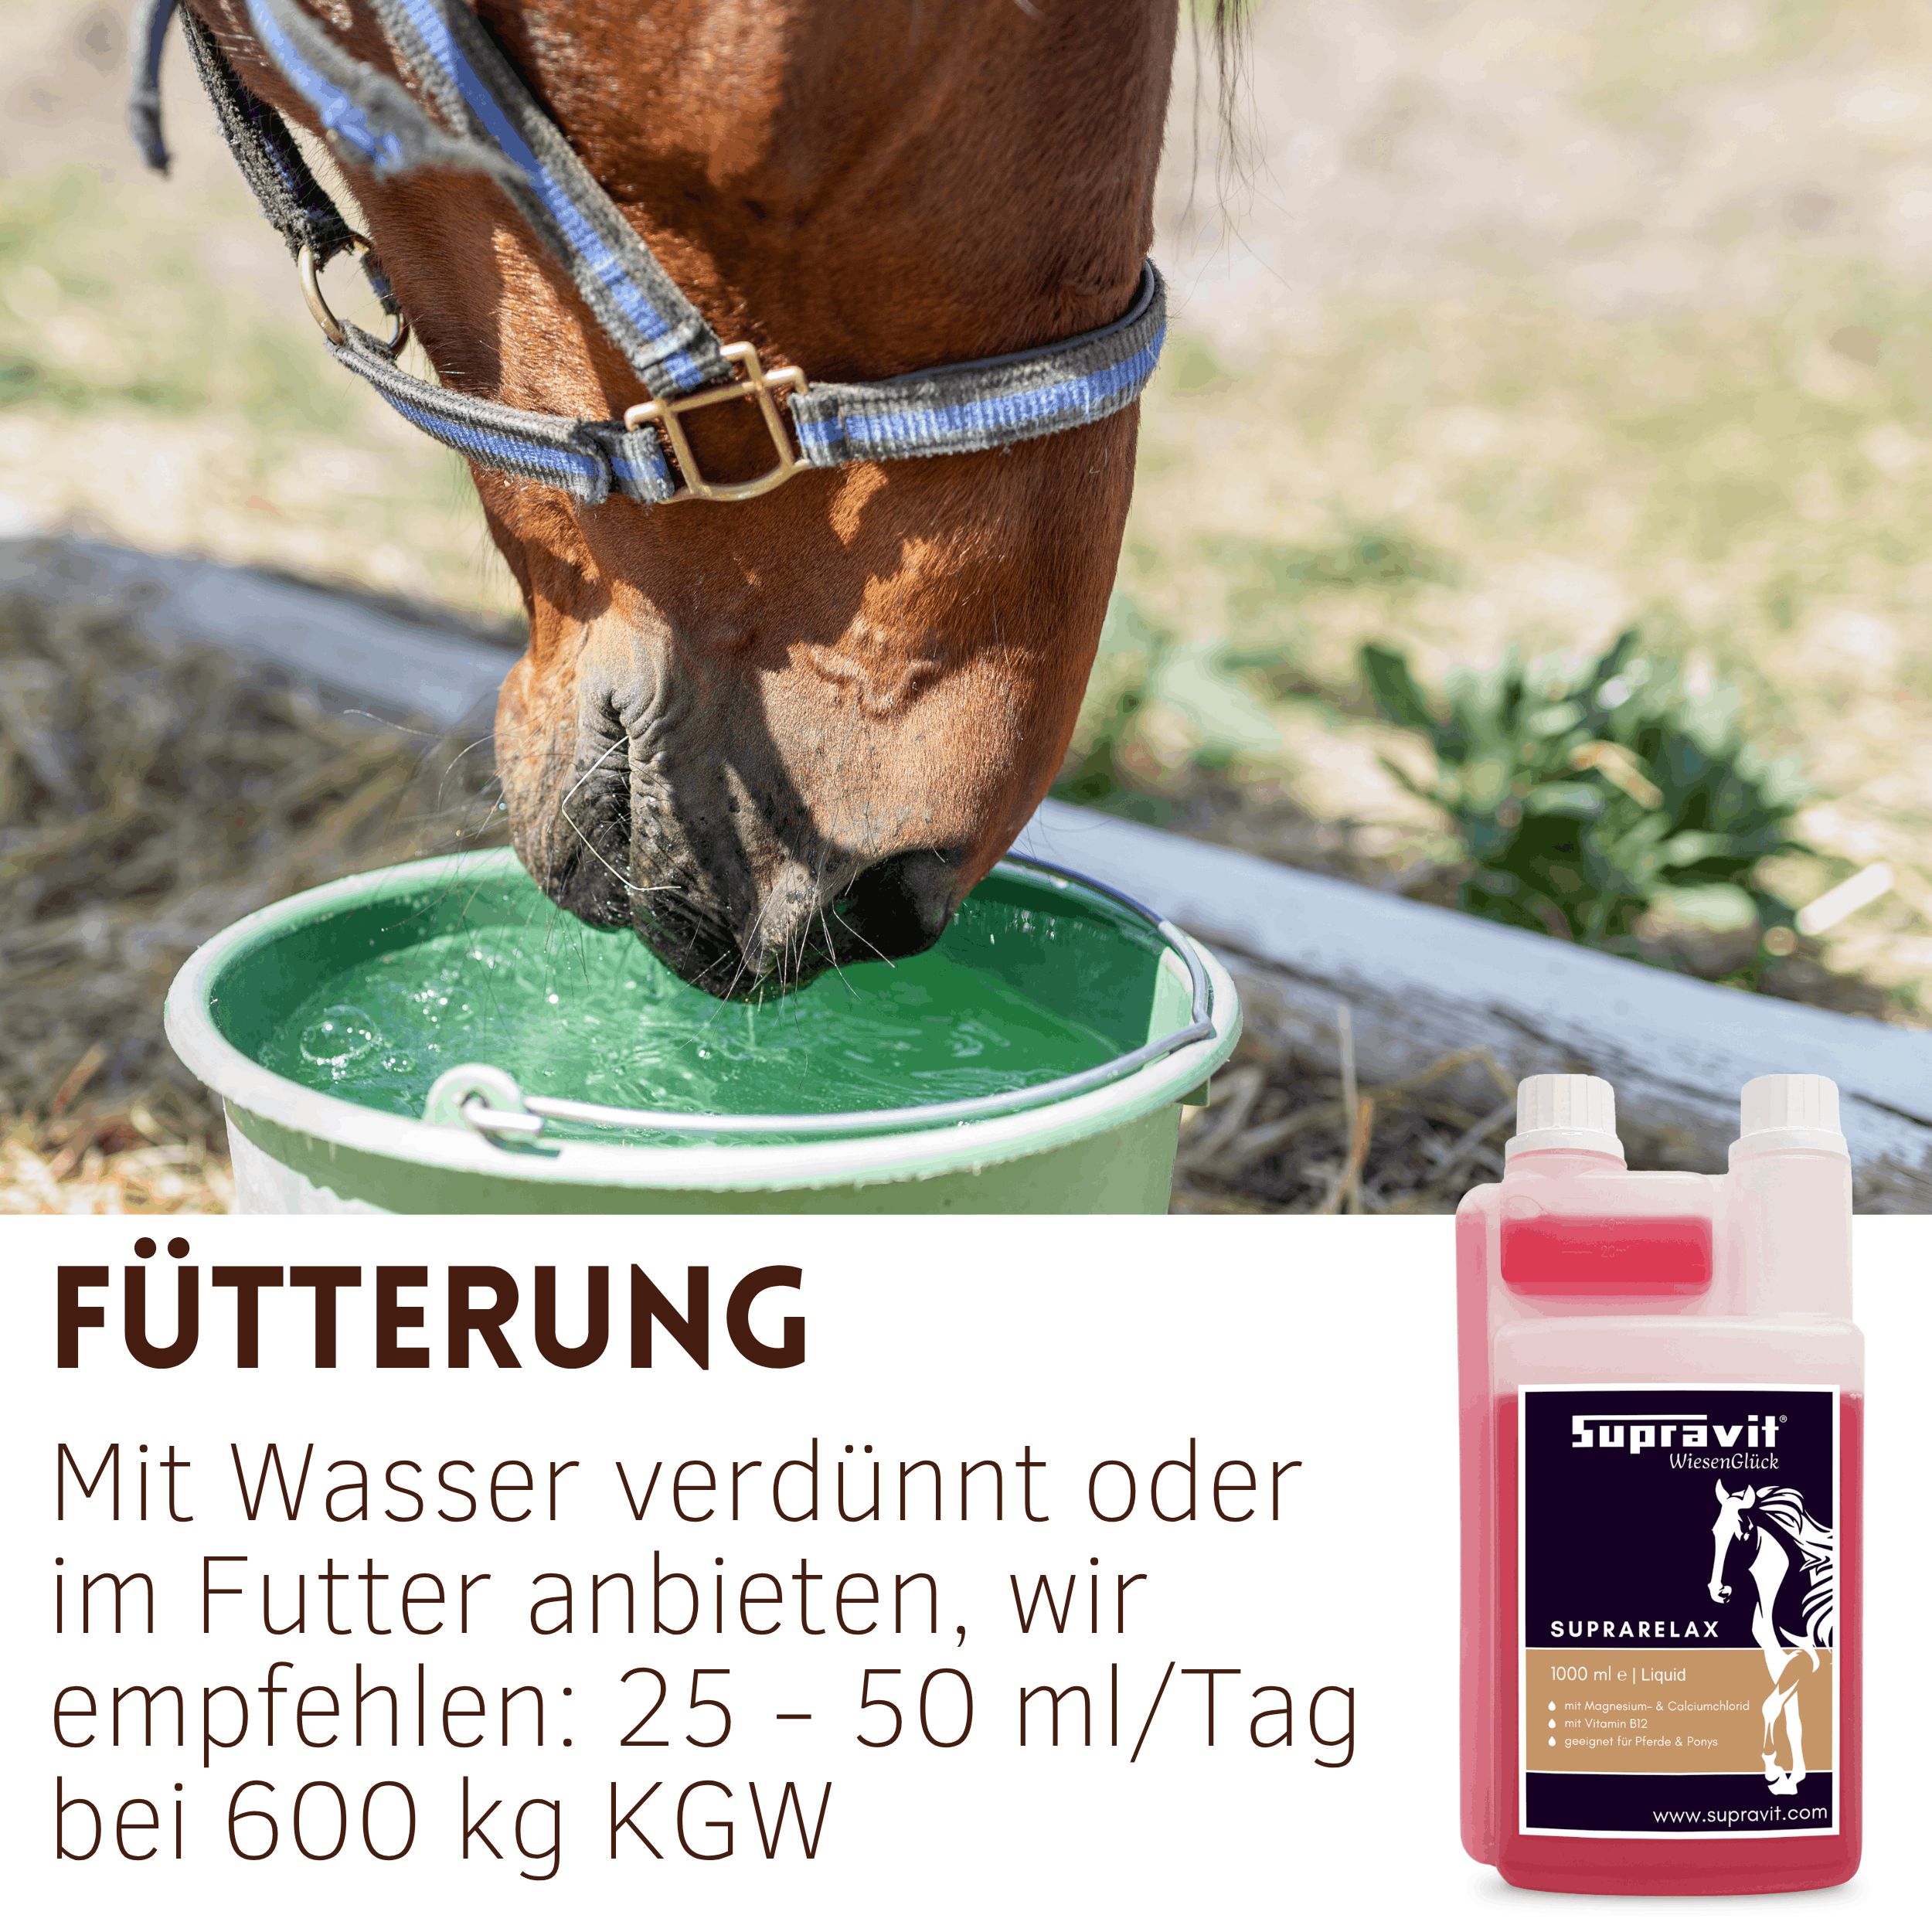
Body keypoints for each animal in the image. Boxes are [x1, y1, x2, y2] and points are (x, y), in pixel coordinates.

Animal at [1708, 1480, 1836, 1794]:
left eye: (1743, 1535)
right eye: (1715, 1531)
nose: (1719, 1591)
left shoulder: (1808, 1658)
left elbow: (1769, 1707)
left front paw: (1774, 1770)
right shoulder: (1779, 1660)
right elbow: (1792, 1720)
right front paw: (1793, 1777)